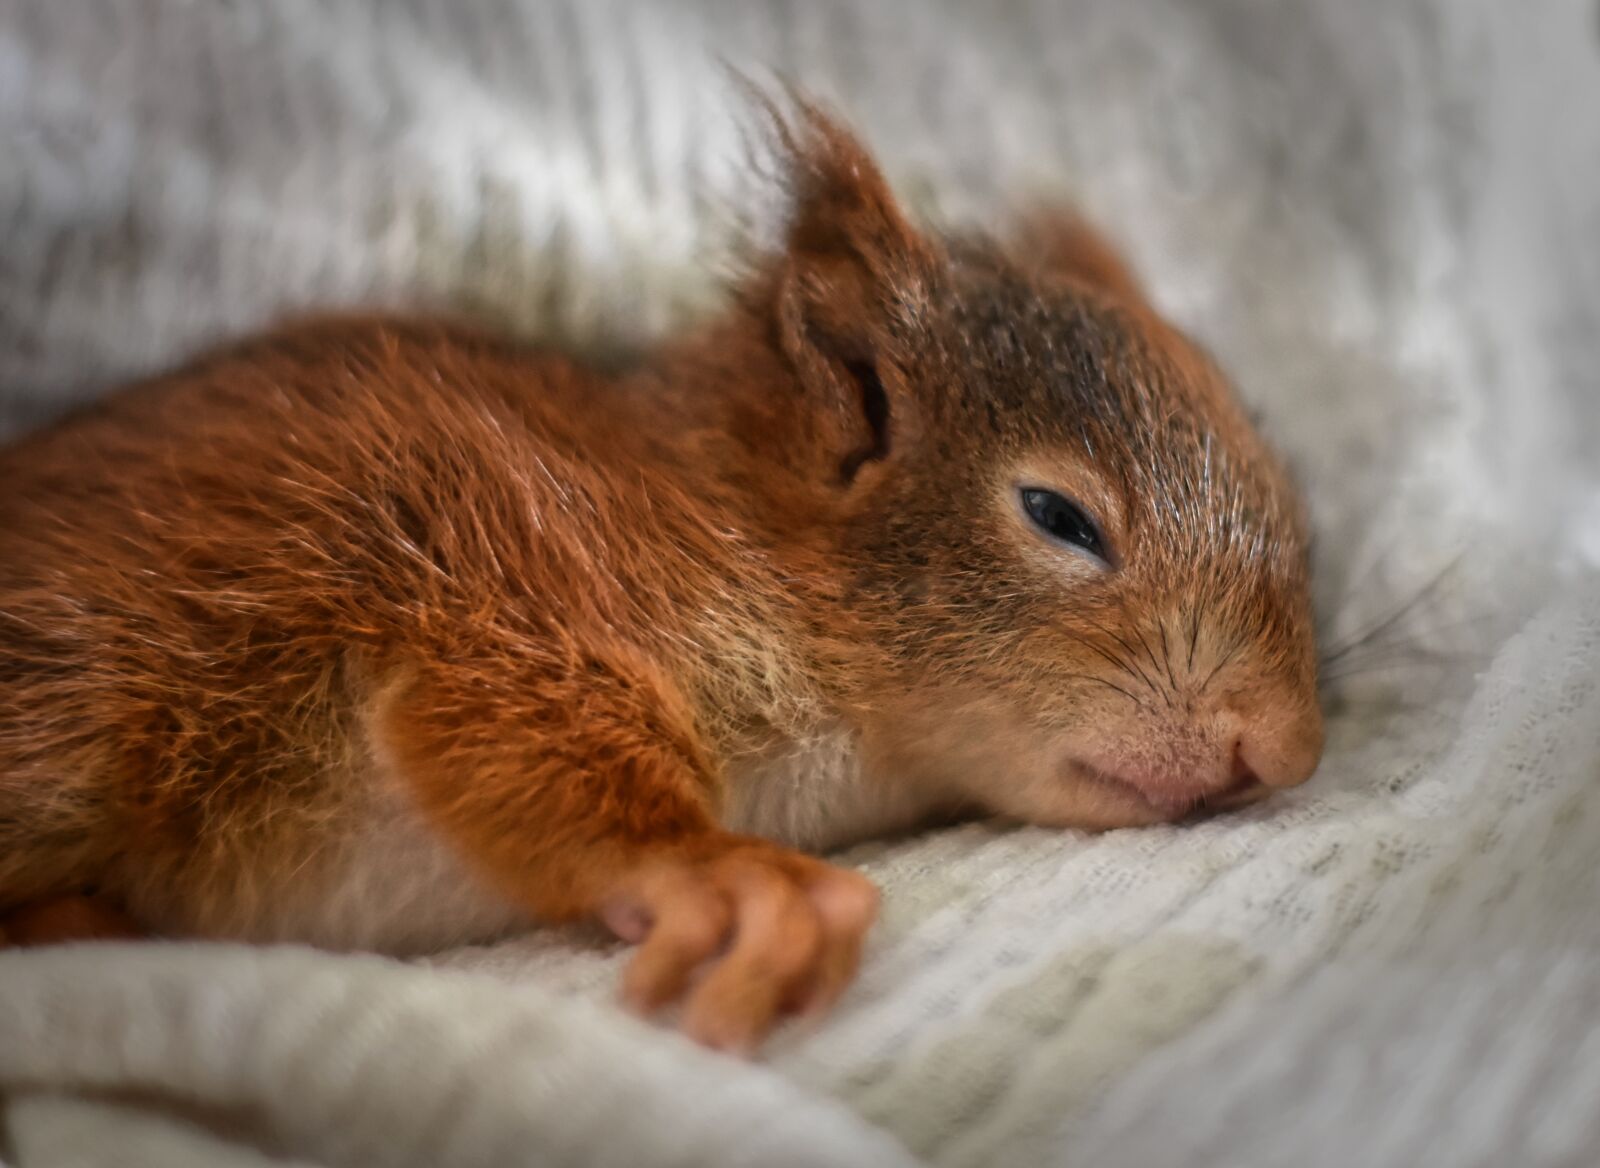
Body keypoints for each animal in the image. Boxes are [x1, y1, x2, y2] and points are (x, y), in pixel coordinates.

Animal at [0, 103, 1323, 1053]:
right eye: (1056, 516)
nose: (1284, 747)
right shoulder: (496, 569)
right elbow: (504, 715)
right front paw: (712, 872)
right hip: (86, 698)